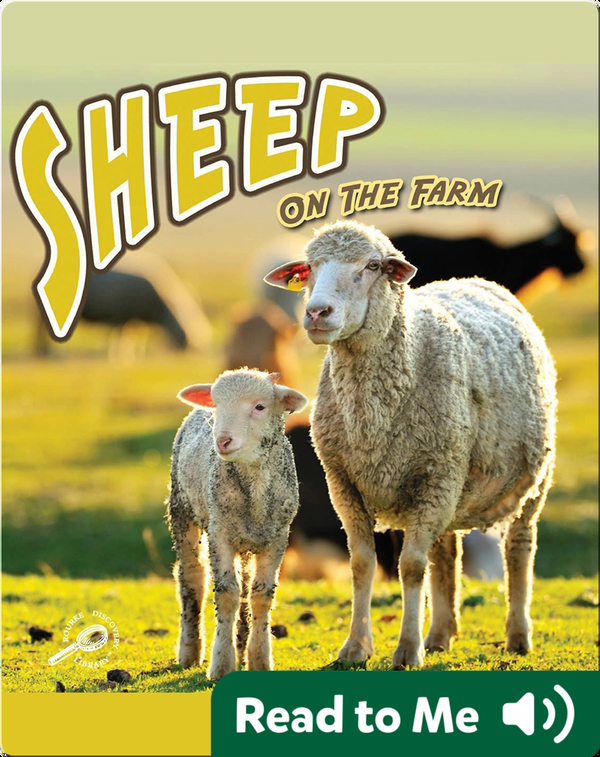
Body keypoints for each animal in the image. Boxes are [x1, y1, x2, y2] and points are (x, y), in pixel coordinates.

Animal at [166, 368, 308, 680]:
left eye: (260, 407)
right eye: (217, 405)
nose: (222, 441)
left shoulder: (278, 538)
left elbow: (261, 595)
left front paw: (259, 659)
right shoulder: (220, 534)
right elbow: (228, 594)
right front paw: (221, 663)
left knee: (244, 586)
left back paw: (241, 648)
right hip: (181, 508)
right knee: (192, 576)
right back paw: (190, 650)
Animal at [265, 219, 556, 669]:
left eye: (372, 265)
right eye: (309, 268)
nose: (316, 313)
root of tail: (476, 280)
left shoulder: (435, 474)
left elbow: (412, 567)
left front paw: (406, 649)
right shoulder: (344, 483)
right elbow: (363, 564)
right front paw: (355, 647)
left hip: (525, 481)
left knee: (519, 547)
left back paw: (517, 636)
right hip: (451, 486)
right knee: (447, 553)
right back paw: (440, 634)